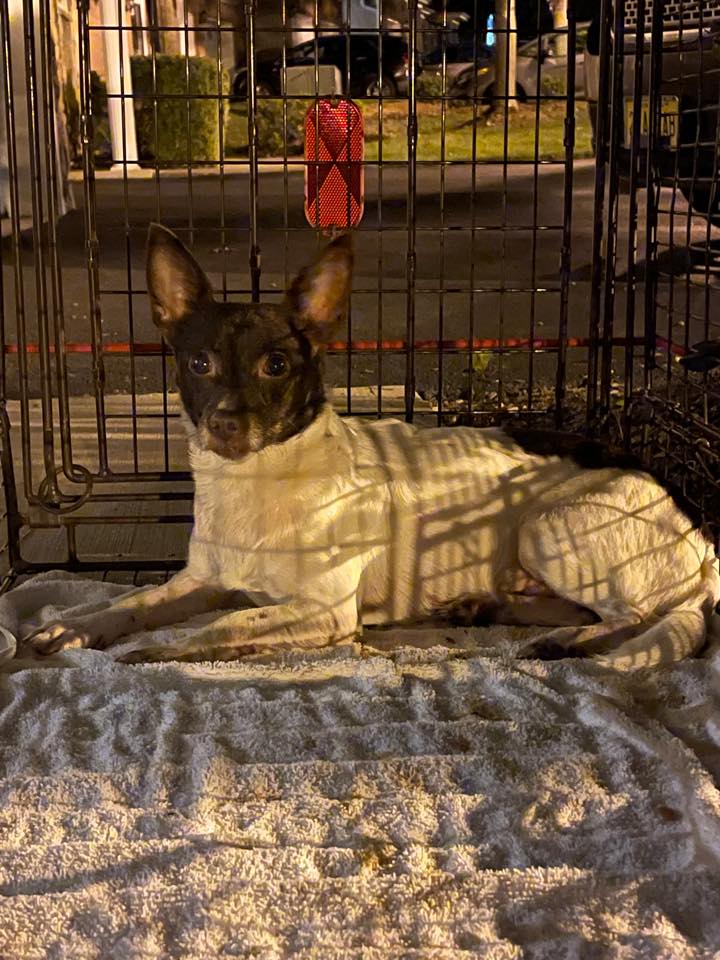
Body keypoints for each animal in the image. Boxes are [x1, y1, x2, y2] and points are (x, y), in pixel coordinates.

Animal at [23, 225, 720, 669]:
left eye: (277, 365)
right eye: (199, 363)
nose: (224, 425)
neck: (260, 481)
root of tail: (702, 537)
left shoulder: (326, 611)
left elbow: (225, 623)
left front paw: (166, 651)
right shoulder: (201, 579)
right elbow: (130, 603)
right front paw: (75, 627)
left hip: (548, 526)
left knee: (636, 616)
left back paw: (568, 642)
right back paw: (485, 608)